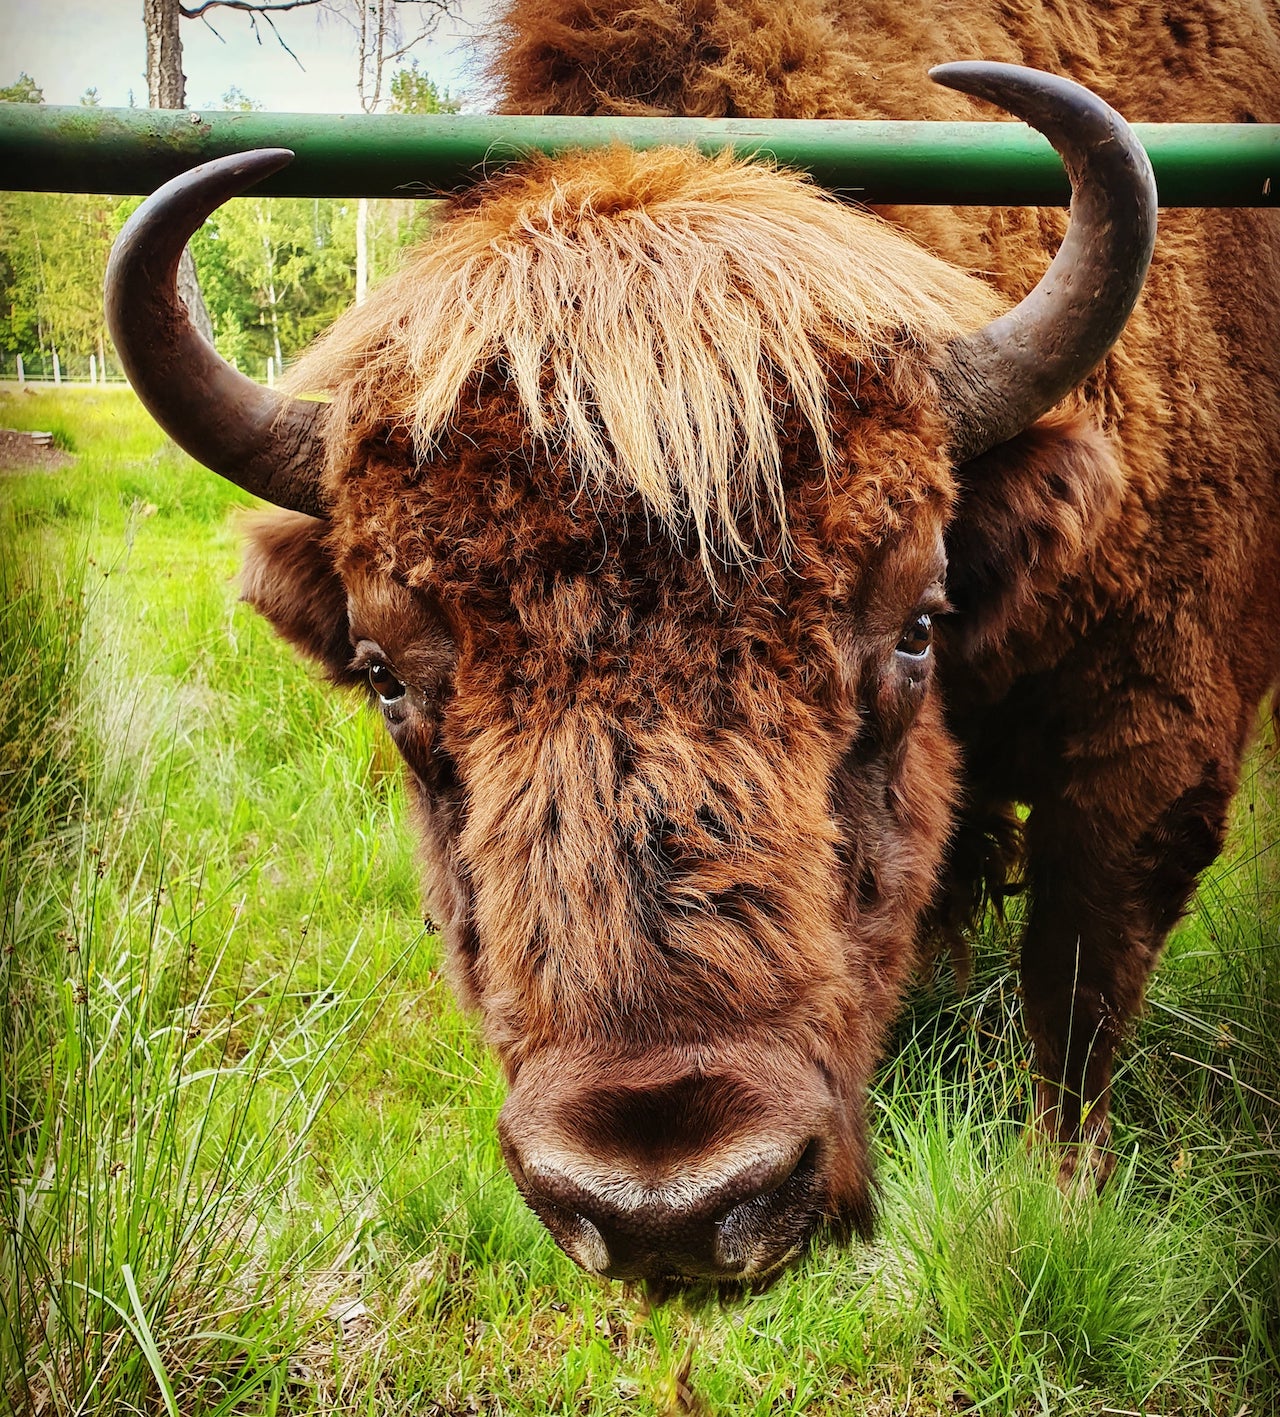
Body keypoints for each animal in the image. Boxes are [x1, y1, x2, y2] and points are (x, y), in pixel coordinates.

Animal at [107, 0, 1280, 1286]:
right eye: (384, 679)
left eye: (916, 623)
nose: (659, 1202)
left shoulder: (1146, 745)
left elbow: (1074, 986)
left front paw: (1064, 1192)